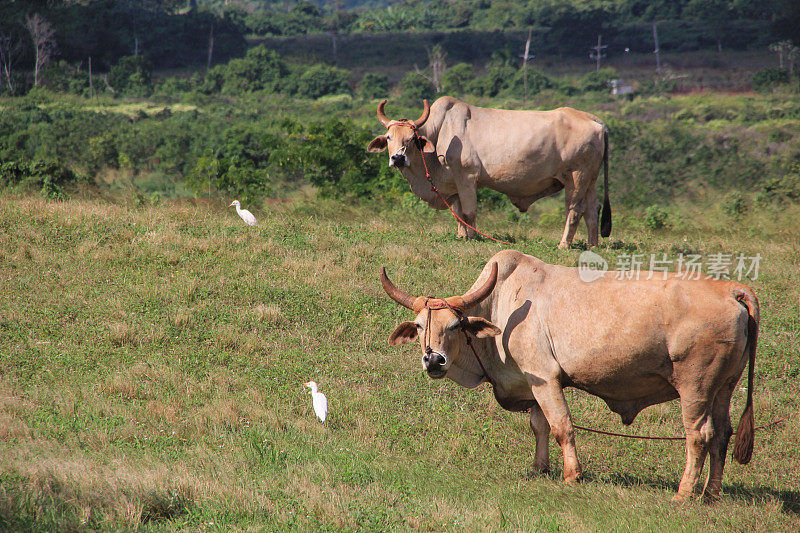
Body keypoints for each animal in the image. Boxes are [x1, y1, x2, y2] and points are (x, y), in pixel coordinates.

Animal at [368, 97, 612, 247]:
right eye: (389, 138)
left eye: (411, 139)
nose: (398, 158)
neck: (440, 132)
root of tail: (595, 121)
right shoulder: (455, 184)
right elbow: (457, 213)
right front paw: (461, 235)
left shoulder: (466, 177)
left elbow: (468, 213)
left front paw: (473, 237)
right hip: (590, 179)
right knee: (592, 209)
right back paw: (592, 245)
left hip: (577, 177)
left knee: (575, 210)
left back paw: (564, 244)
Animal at [380, 249, 756, 498]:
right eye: (419, 325)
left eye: (455, 325)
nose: (433, 360)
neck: (501, 306)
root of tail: (731, 290)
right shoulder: (530, 386)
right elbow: (540, 426)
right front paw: (539, 468)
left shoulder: (545, 379)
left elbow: (562, 427)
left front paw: (571, 476)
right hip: (724, 387)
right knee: (722, 434)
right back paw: (711, 493)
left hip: (695, 386)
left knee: (699, 435)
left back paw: (684, 493)